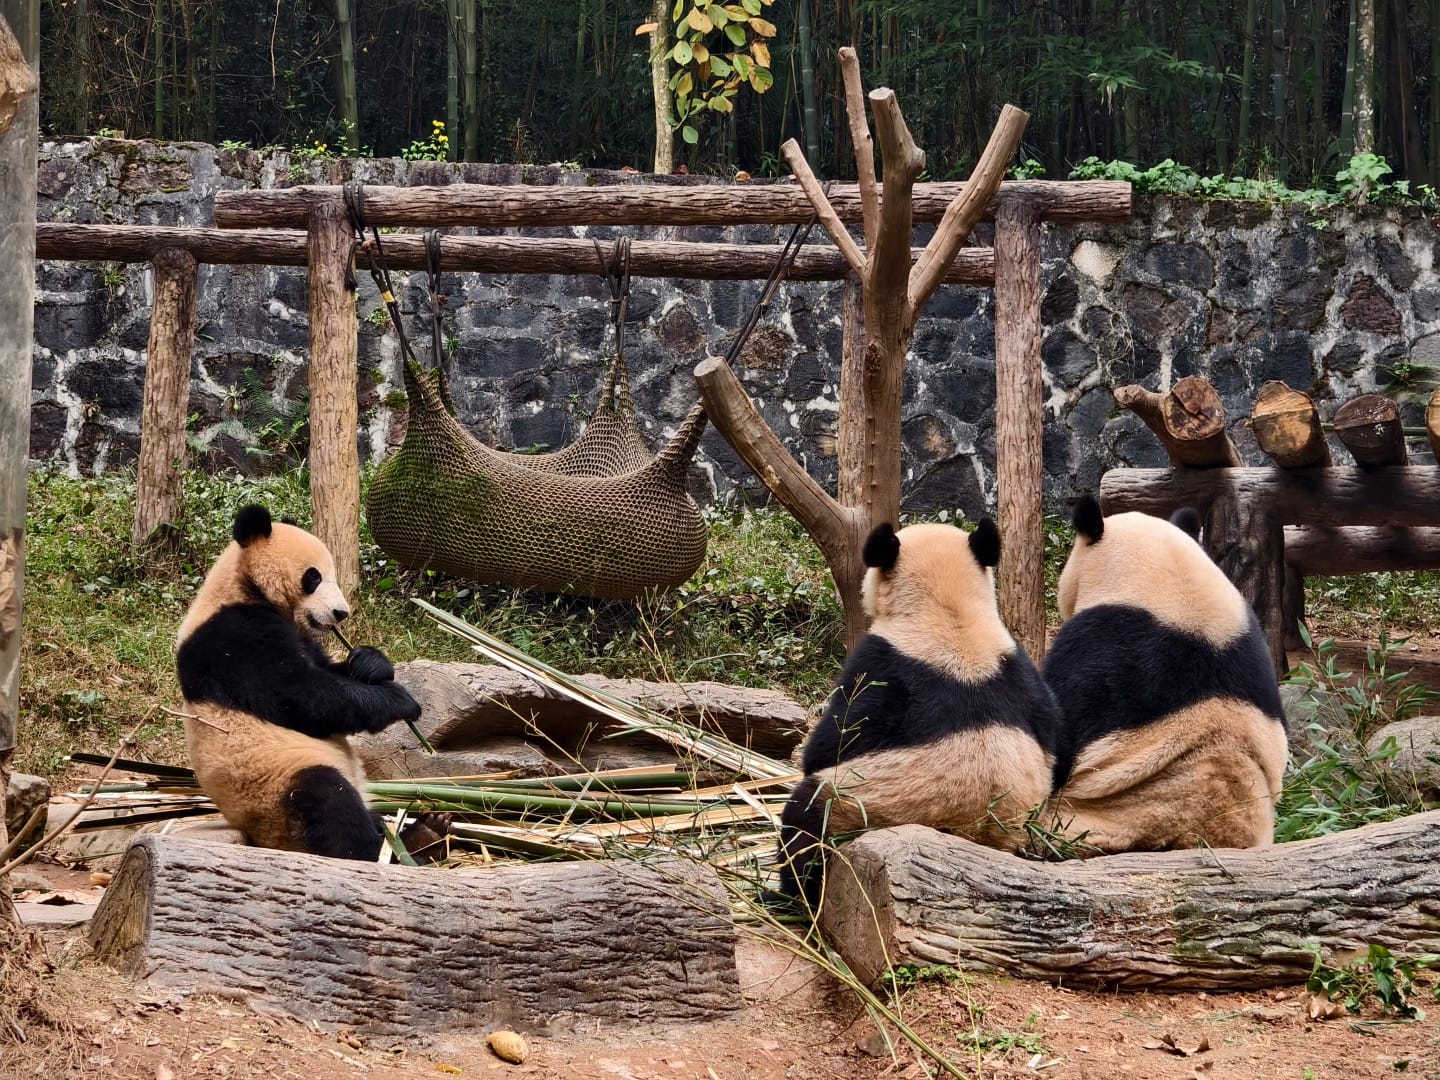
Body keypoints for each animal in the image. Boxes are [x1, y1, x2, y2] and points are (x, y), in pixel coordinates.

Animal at [176, 505, 433, 861]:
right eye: (314, 577)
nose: (341, 613)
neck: (242, 587)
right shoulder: (232, 639)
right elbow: (306, 697)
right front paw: (402, 700)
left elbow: (333, 672)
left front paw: (370, 663)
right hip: (273, 788)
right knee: (329, 802)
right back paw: (394, 851)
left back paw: (421, 834)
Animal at [778, 520, 1063, 907]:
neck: (950, 615)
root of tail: (968, 832)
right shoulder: (1023, 671)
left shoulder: (883, 666)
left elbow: (835, 740)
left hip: (866, 804)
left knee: (806, 823)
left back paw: (790, 898)